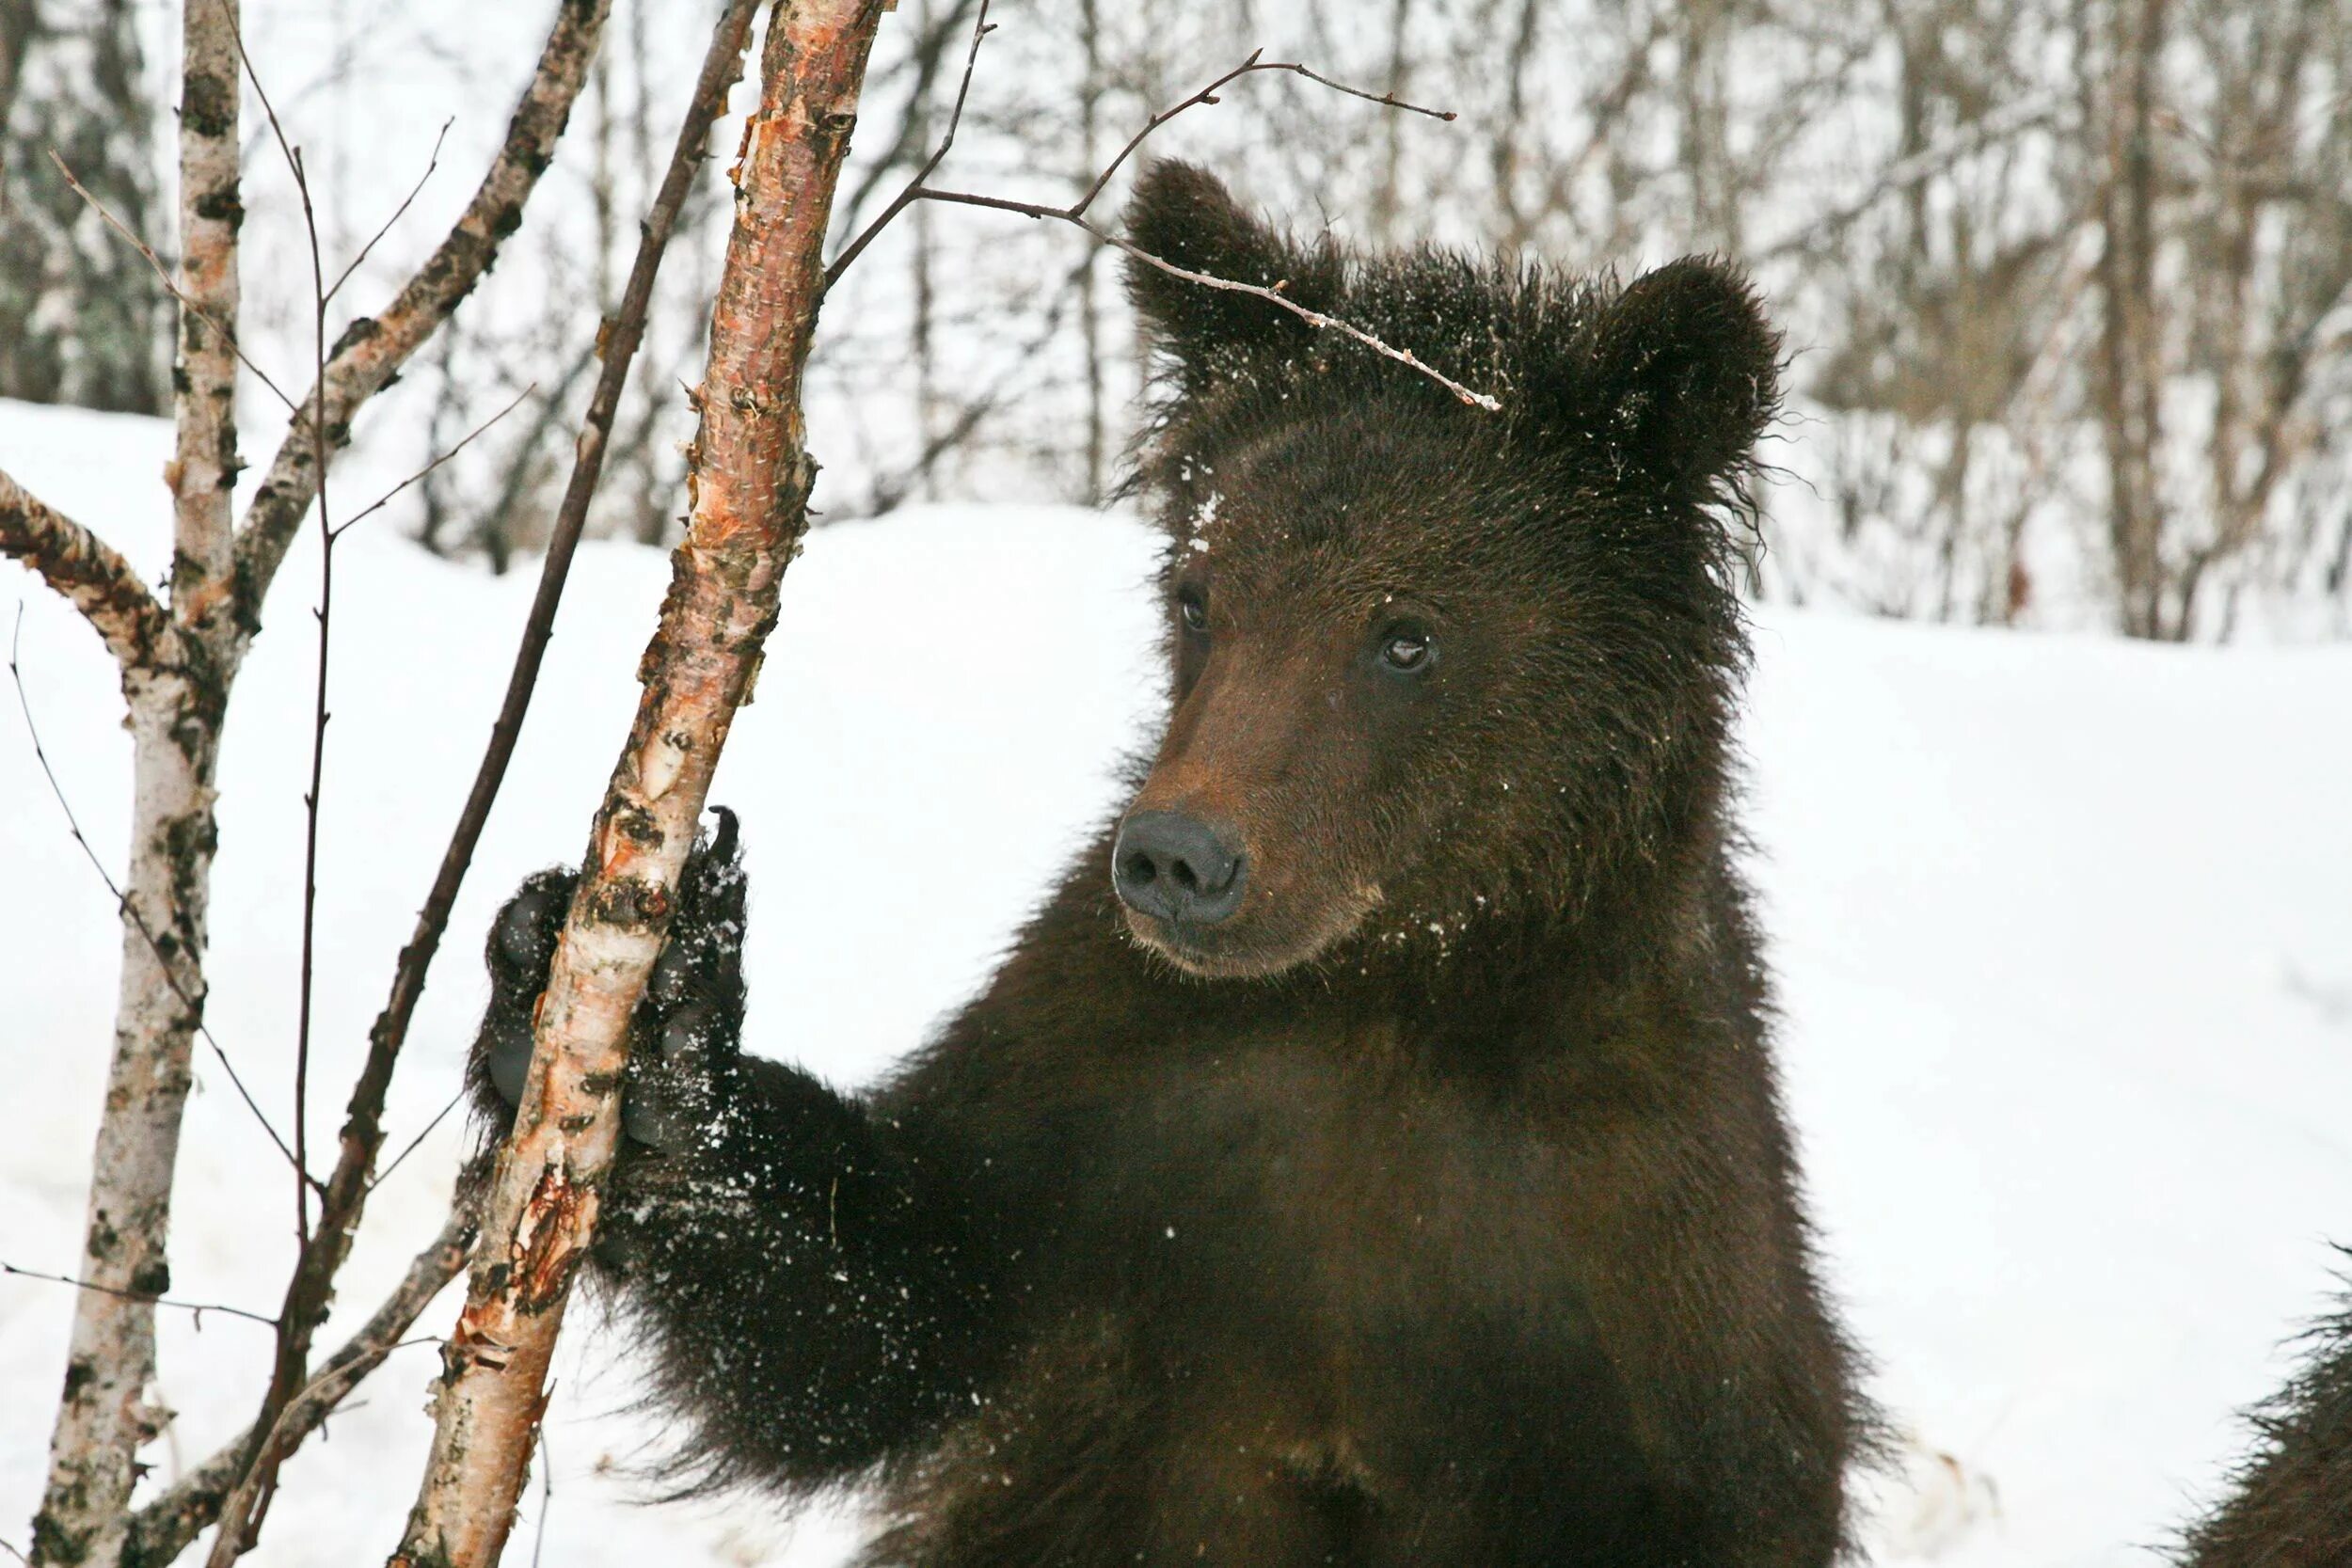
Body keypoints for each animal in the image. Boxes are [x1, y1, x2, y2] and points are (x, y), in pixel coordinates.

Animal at [472, 162, 1872, 1568]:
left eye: (1406, 634)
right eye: (1201, 593)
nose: (1175, 859)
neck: (1393, 987)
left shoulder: (1632, 1246)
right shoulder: (1117, 1096)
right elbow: (883, 1298)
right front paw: (642, 1016)